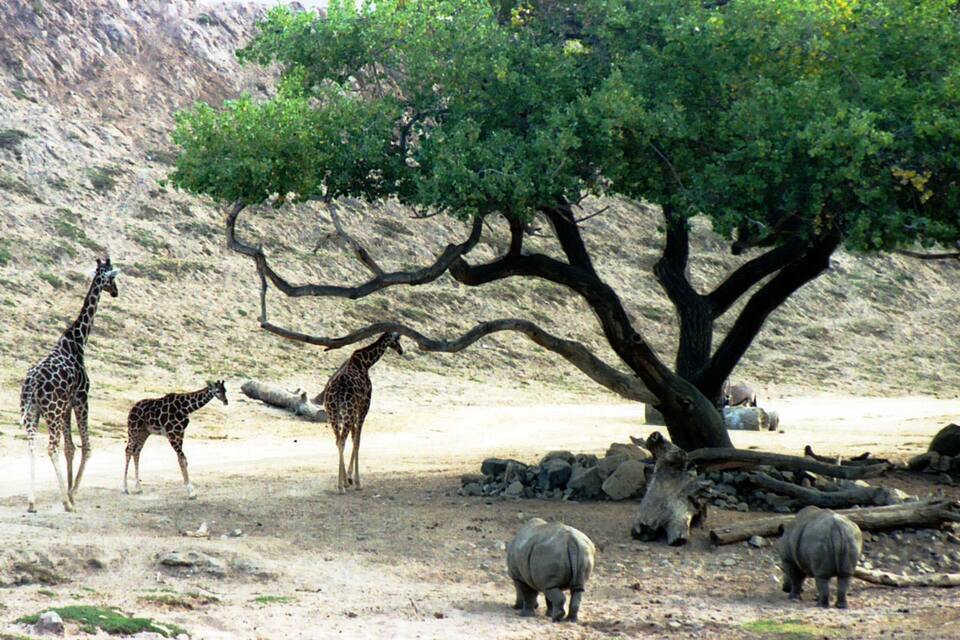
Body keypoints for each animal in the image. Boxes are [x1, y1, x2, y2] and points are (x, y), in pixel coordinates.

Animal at [20, 257, 119, 513]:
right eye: (111, 277)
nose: (115, 292)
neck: (78, 340)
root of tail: (32, 385)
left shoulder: (65, 407)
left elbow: (70, 448)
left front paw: (70, 492)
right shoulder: (81, 398)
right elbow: (86, 447)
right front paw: (71, 495)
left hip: (33, 412)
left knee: (32, 446)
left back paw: (32, 502)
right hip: (51, 412)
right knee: (50, 448)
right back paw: (66, 503)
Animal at [322, 332, 403, 494]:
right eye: (397, 339)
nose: (401, 350)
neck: (366, 362)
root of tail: (336, 389)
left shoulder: (355, 412)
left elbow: (354, 439)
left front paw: (349, 477)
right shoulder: (364, 407)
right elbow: (358, 441)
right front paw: (356, 481)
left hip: (333, 414)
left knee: (338, 441)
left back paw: (343, 483)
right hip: (347, 412)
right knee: (342, 441)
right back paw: (341, 487)